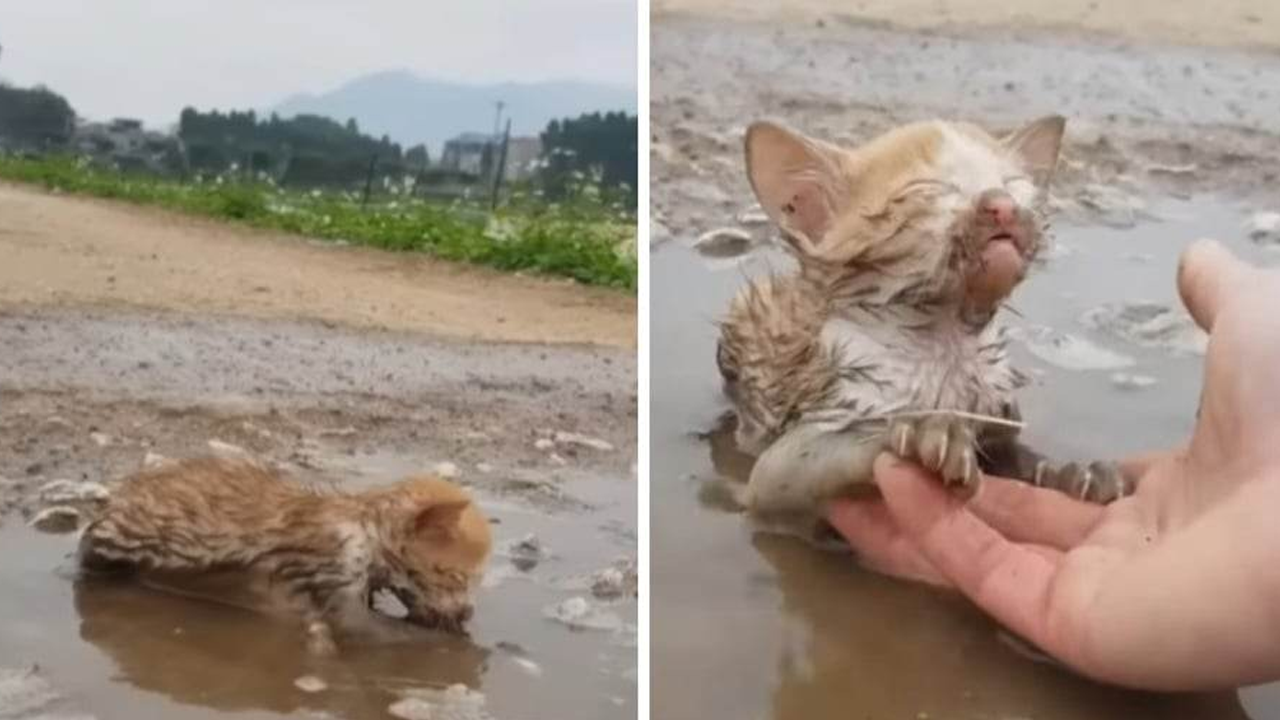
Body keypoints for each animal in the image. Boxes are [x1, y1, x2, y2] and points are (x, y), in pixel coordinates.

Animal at [78, 456, 488, 653]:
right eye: (456, 577)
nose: (468, 613)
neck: (364, 529)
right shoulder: (333, 569)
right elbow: (364, 626)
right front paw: (460, 646)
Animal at [721, 113, 1131, 527]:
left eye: (1011, 186)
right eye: (929, 190)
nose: (1003, 205)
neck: (945, 337)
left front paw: (1069, 473)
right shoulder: (774, 481)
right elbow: (817, 456)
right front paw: (924, 434)